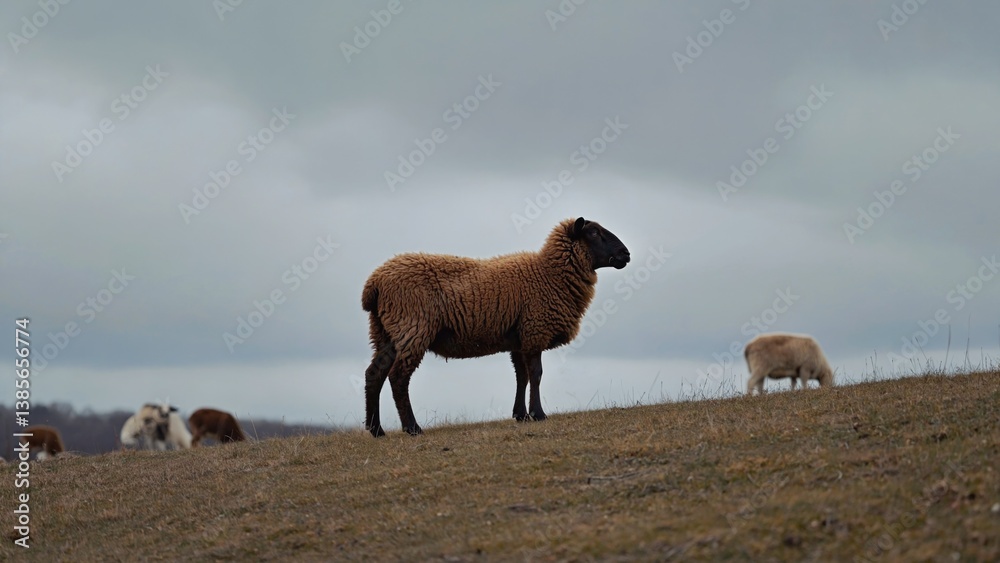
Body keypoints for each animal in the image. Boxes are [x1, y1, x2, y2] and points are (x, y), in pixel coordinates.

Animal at [361, 217, 631, 437]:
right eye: (593, 232)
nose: (625, 254)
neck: (548, 275)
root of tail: (374, 283)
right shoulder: (534, 330)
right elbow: (536, 374)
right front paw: (538, 414)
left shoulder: (520, 338)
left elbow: (521, 376)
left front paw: (521, 415)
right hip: (413, 327)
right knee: (398, 377)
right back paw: (412, 428)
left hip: (385, 332)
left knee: (374, 374)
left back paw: (376, 430)